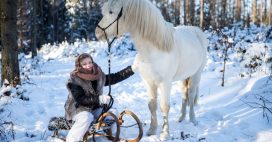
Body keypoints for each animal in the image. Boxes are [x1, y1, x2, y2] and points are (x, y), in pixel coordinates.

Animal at [94, 0, 207, 140]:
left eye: (111, 12)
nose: (97, 32)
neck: (154, 49)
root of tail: (197, 32)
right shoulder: (149, 82)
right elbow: (152, 105)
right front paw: (152, 130)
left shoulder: (165, 83)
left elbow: (164, 107)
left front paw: (165, 134)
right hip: (183, 77)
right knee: (184, 95)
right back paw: (181, 117)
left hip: (196, 75)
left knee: (191, 96)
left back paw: (192, 119)